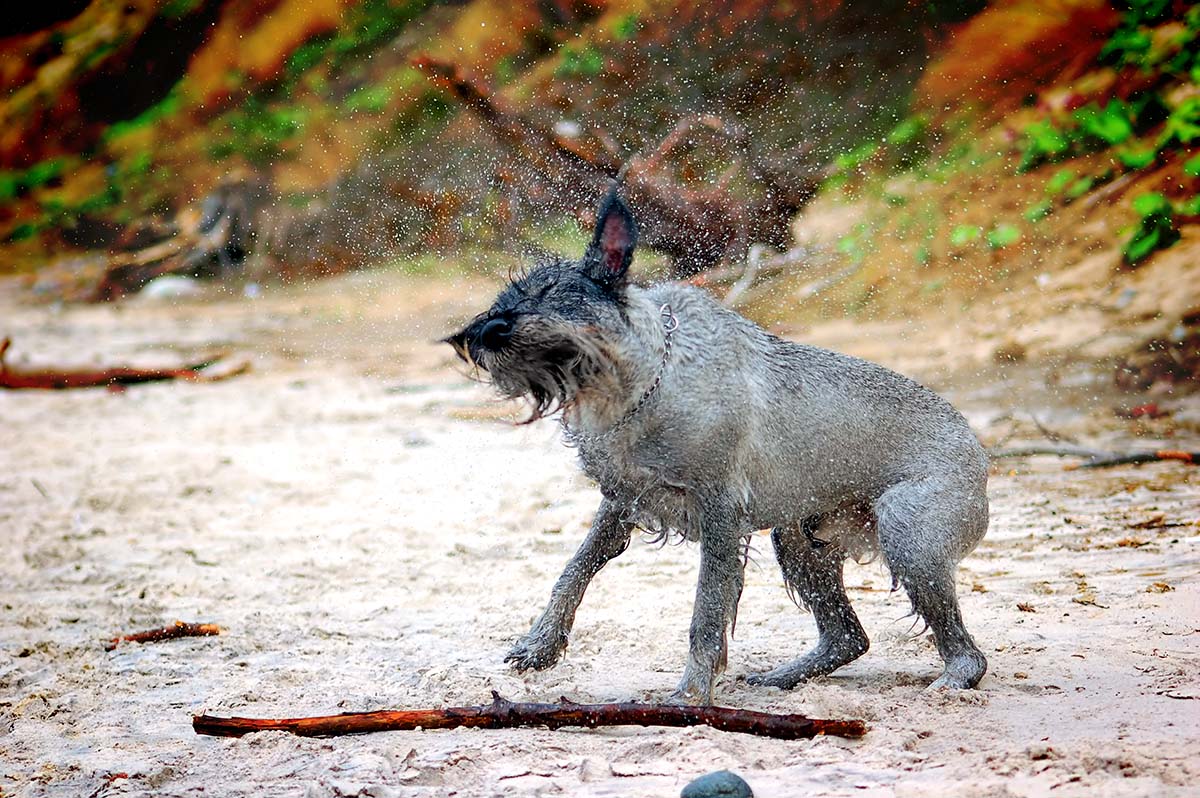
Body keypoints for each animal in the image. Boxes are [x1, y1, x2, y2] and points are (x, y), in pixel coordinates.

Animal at [446, 187, 988, 705]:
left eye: (553, 294)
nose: (480, 334)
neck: (640, 381)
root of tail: (980, 453)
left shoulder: (720, 515)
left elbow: (705, 614)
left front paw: (691, 694)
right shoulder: (621, 501)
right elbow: (574, 569)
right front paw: (540, 644)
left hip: (909, 540)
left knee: (966, 653)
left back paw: (950, 682)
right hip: (799, 541)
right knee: (848, 636)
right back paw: (782, 678)